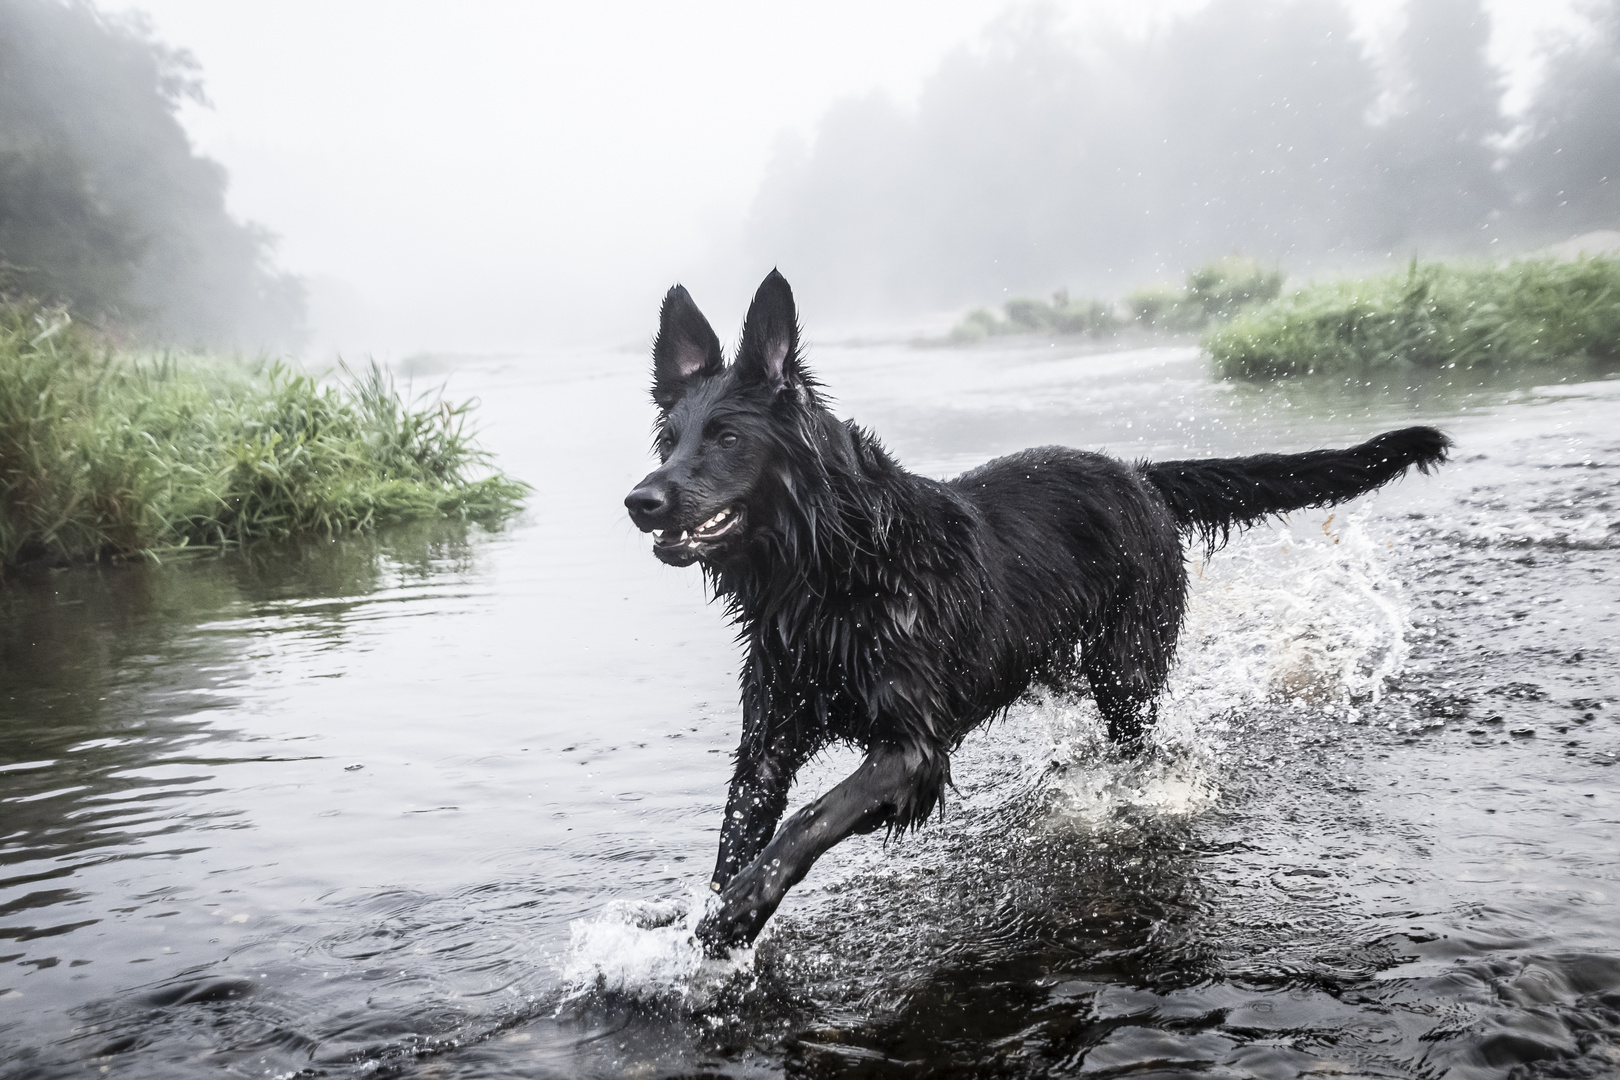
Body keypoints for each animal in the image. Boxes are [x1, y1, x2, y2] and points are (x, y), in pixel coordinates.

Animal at [622, 270, 1458, 952]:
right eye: (668, 439)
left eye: (728, 436)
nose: (640, 500)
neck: (830, 570)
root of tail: (1138, 475)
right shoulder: (770, 734)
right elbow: (742, 827)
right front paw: (699, 922)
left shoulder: (912, 751)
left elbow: (809, 820)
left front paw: (738, 911)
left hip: (1125, 673)